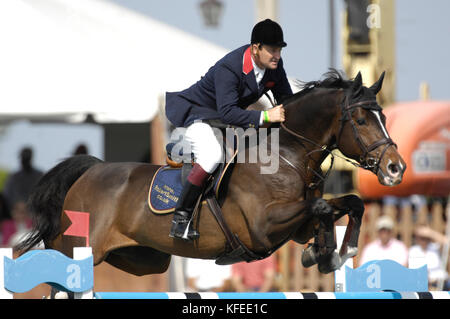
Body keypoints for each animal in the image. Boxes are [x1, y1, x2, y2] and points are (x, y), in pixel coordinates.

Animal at [17, 71, 406, 294]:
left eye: (385, 117)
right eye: (360, 119)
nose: (396, 168)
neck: (288, 155)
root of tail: (88, 173)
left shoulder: (294, 227)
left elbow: (347, 203)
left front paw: (332, 252)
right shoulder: (265, 226)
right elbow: (323, 206)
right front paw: (330, 253)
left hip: (142, 259)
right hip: (82, 249)